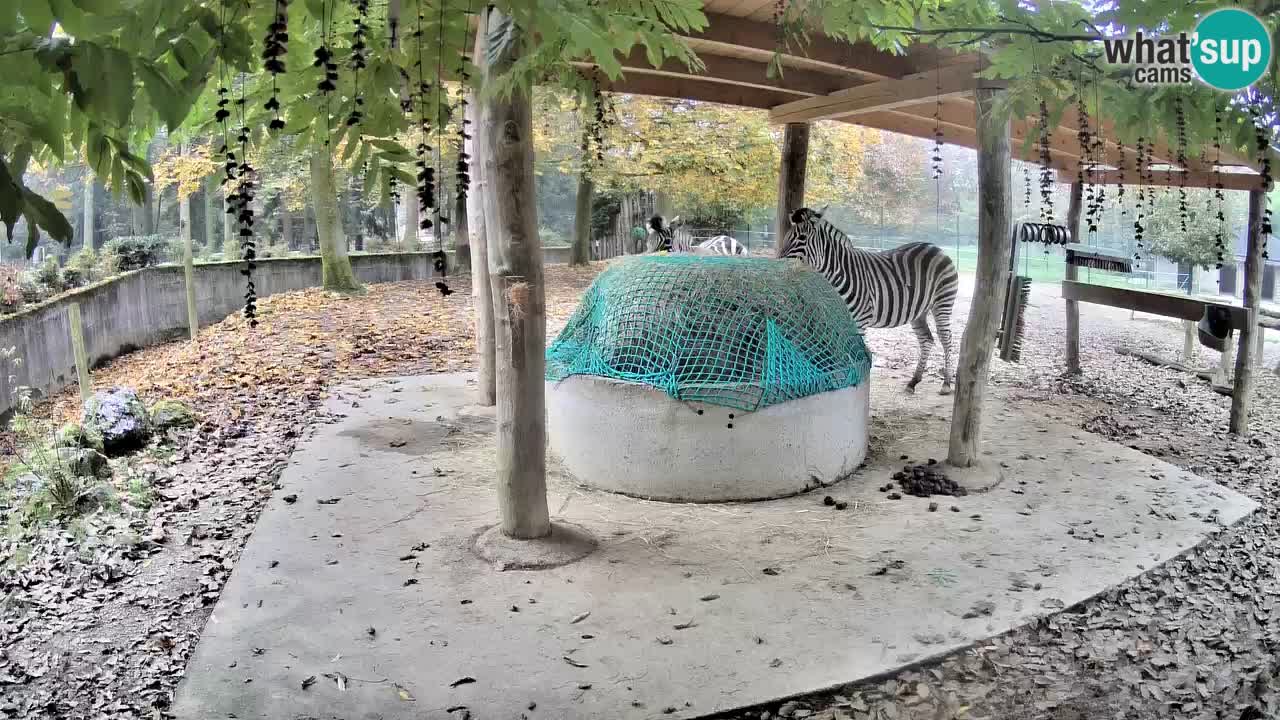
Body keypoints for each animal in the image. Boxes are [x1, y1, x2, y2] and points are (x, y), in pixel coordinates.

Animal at [773, 204, 957, 392]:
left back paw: (946, 383)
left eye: (802, 238)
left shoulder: (859, 321)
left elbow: (854, 353)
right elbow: (838, 352)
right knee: (926, 340)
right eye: (786, 237)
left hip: (942, 302)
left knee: (946, 338)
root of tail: (935, 247)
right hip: (918, 311)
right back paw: (913, 381)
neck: (838, 273)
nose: (776, 266)